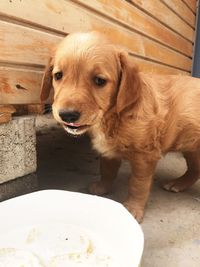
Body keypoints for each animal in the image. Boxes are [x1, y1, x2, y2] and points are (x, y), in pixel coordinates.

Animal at [40, 31, 200, 224]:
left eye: (99, 81)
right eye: (58, 76)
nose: (67, 115)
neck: (116, 114)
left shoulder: (145, 156)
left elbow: (138, 184)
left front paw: (133, 208)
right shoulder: (109, 151)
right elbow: (106, 170)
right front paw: (102, 187)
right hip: (192, 148)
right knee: (195, 169)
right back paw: (179, 183)